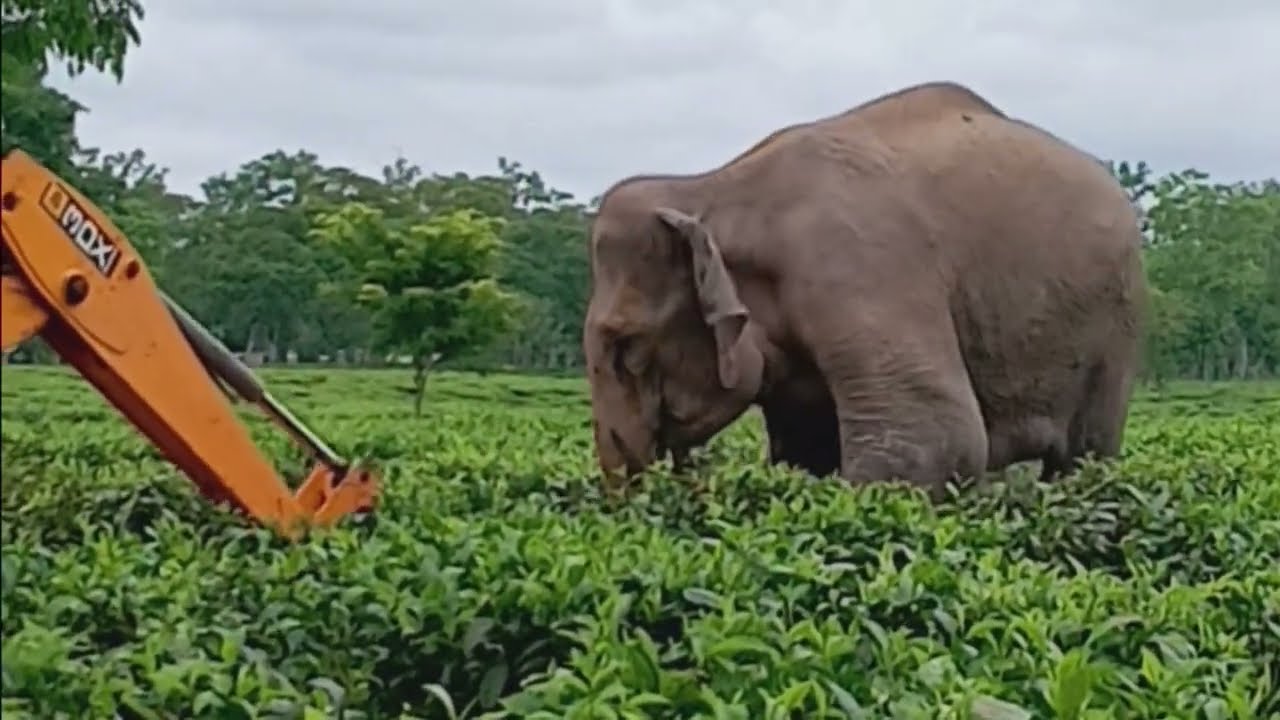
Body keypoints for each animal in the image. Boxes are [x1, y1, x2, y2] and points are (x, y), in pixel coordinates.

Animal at [582, 80, 1146, 499]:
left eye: (625, 347)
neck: (711, 187)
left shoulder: (858, 263)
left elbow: (934, 440)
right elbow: (808, 447)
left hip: (1115, 332)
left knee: (1085, 451)